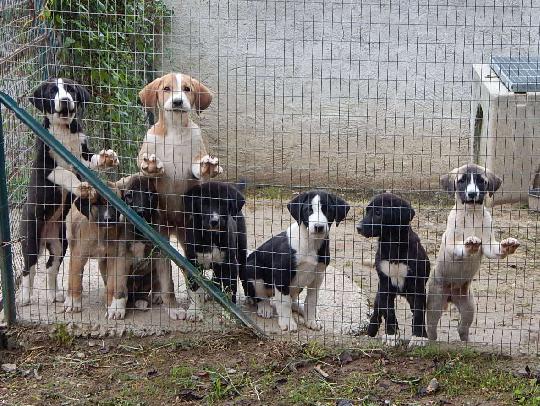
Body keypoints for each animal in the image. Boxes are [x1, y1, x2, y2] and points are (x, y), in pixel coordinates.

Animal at [20, 78, 119, 304]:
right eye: (52, 92)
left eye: (71, 90)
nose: (65, 100)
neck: (64, 130)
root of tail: (45, 237)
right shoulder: (48, 169)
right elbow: (66, 174)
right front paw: (81, 187)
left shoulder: (82, 157)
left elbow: (92, 159)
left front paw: (107, 157)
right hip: (30, 238)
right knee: (29, 268)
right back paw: (25, 296)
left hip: (60, 242)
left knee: (51, 266)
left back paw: (53, 294)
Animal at [182, 182, 248, 322]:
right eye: (204, 203)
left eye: (223, 203)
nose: (214, 221)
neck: (211, 237)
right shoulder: (192, 262)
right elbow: (194, 289)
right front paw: (194, 311)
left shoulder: (230, 264)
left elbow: (230, 288)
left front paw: (229, 313)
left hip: (241, 252)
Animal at [245, 190, 350, 334]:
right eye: (308, 210)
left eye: (328, 210)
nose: (318, 227)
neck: (310, 243)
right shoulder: (281, 274)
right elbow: (284, 302)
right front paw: (288, 323)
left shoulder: (318, 276)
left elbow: (311, 300)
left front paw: (311, 320)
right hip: (252, 267)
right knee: (261, 296)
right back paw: (265, 307)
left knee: (292, 299)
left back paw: (300, 309)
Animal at [358, 193, 430, 346]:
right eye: (367, 211)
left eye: (378, 213)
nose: (358, 227)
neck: (393, 244)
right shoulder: (385, 284)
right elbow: (389, 312)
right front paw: (391, 335)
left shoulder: (418, 287)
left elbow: (419, 314)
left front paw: (419, 337)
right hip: (380, 293)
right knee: (378, 311)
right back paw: (372, 331)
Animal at [428, 163, 520, 340]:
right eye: (462, 180)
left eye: (481, 181)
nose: (472, 194)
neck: (471, 214)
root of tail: (450, 297)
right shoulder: (451, 243)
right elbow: (459, 247)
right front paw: (469, 244)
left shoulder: (489, 245)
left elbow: (495, 249)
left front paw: (508, 245)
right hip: (434, 305)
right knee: (431, 328)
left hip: (468, 307)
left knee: (462, 328)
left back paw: (466, 342)